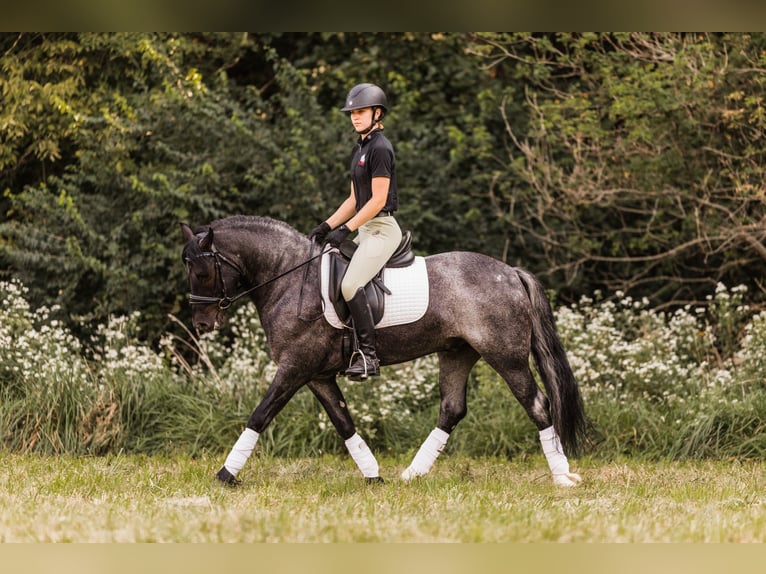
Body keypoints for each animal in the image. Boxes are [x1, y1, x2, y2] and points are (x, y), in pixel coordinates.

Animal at [181, 215, 587, 487]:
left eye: (202, 273)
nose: (201, 324)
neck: (291, 278)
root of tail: (511, 272)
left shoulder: (295, 368)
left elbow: (260, 415)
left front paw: (225, 475)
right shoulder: (317, 375)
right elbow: (344, 422)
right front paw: (373, 475)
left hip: (506, 356)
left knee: (538, 405)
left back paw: (562, 476)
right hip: (457, 352)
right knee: (452, 409)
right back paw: (412, 474)